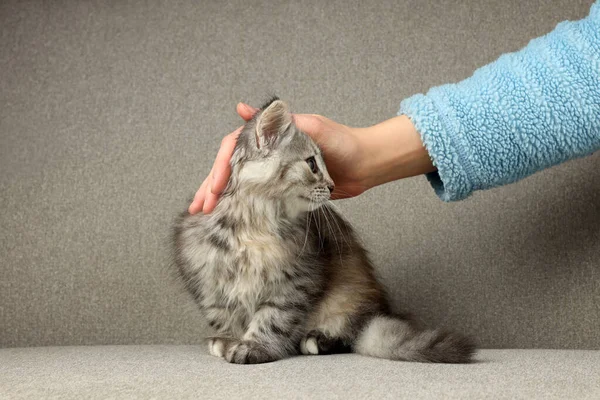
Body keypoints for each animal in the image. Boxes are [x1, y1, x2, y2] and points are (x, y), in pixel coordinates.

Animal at [171, 97, 476, 362]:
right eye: (312, 164)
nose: (331, 186)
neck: (257, 226)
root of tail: (374, 311)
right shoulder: (206, 276)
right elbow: (226, 316)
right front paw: (229, 341)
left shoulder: (297, 277)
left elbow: (273, 318)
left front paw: (255, 346)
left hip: (349, 298)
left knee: (352, 335)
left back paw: (317, 339)